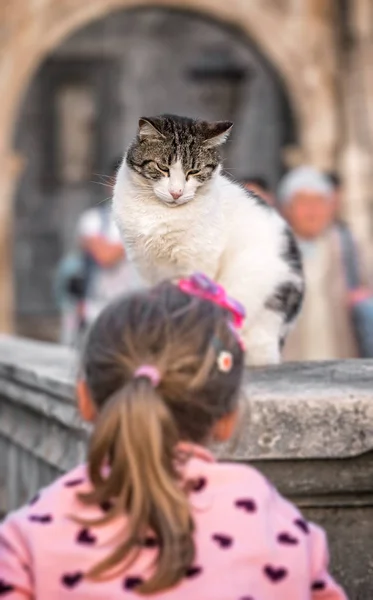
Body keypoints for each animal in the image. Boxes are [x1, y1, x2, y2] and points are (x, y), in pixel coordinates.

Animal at [112, 113, 302, 366]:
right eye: (162, 167)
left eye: (193, 171)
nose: (176, 193)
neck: (159, 213)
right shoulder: (143, 264)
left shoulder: (197, 261)